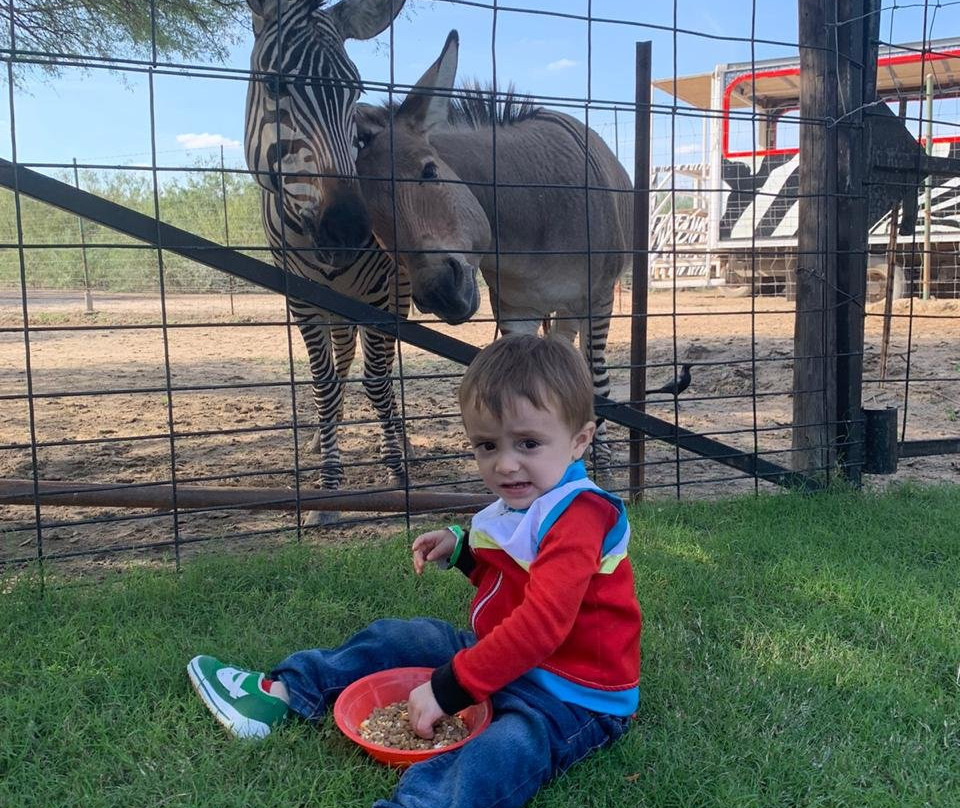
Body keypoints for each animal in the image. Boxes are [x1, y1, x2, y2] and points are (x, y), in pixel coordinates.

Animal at [244, 0, 408, 496]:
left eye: (355, 91)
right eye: (275, 84)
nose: (349, 228)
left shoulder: (382, 293)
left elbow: (378, 382)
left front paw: (396, 466)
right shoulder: (300, 297)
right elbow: (325, 382)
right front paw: (329, 474)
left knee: (382, 369)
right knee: (345, 358)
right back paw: (323, 436)